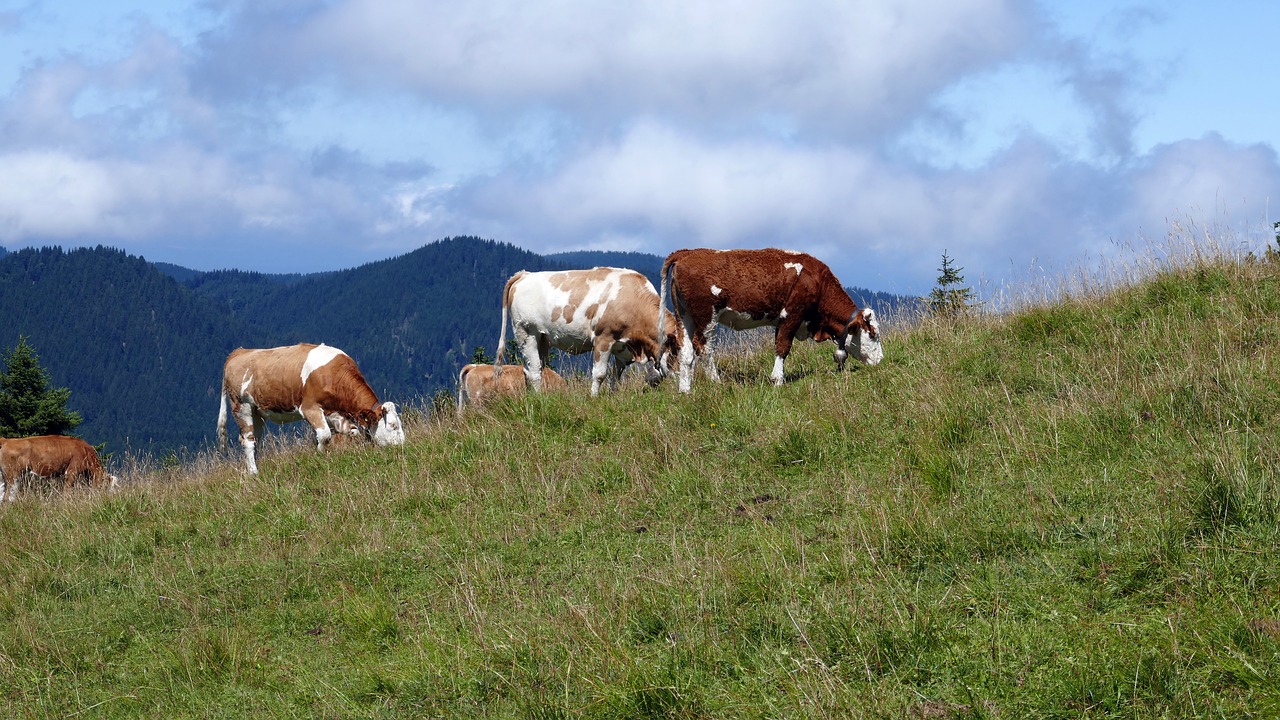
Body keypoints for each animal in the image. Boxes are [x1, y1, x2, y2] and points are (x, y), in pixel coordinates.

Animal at [215, 340, 404, 471]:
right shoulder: (309, 408)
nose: (403, 446)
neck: (334, 375)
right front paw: (318, 456)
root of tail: (238, 352)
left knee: (253, 439)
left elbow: (350, 431)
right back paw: (254, 473)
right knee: (248, 440)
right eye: (392, 426)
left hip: (258, 412)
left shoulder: (333, 412)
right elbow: (325, 435)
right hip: (241, 407)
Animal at [494, 266, 686, 394]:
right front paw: (594, 398)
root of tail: (525, 274)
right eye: (675, 351)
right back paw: (539, 399)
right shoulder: (603, 338)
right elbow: (600, 374)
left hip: (542, 339)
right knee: (534, 372)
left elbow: (616, 377)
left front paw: (612, 397)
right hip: (526, 332)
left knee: (531, 370)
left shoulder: (623, 347)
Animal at [660, 248, 880, 392]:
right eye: (873, 334)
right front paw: (777, 379)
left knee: (686, 351)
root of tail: (687, 252)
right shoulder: (792, 314)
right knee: (703, 347)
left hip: (684, 316)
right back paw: (716, 382)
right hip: (707, 316)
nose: (880, 360)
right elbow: (783, 347)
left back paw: (685, 389)